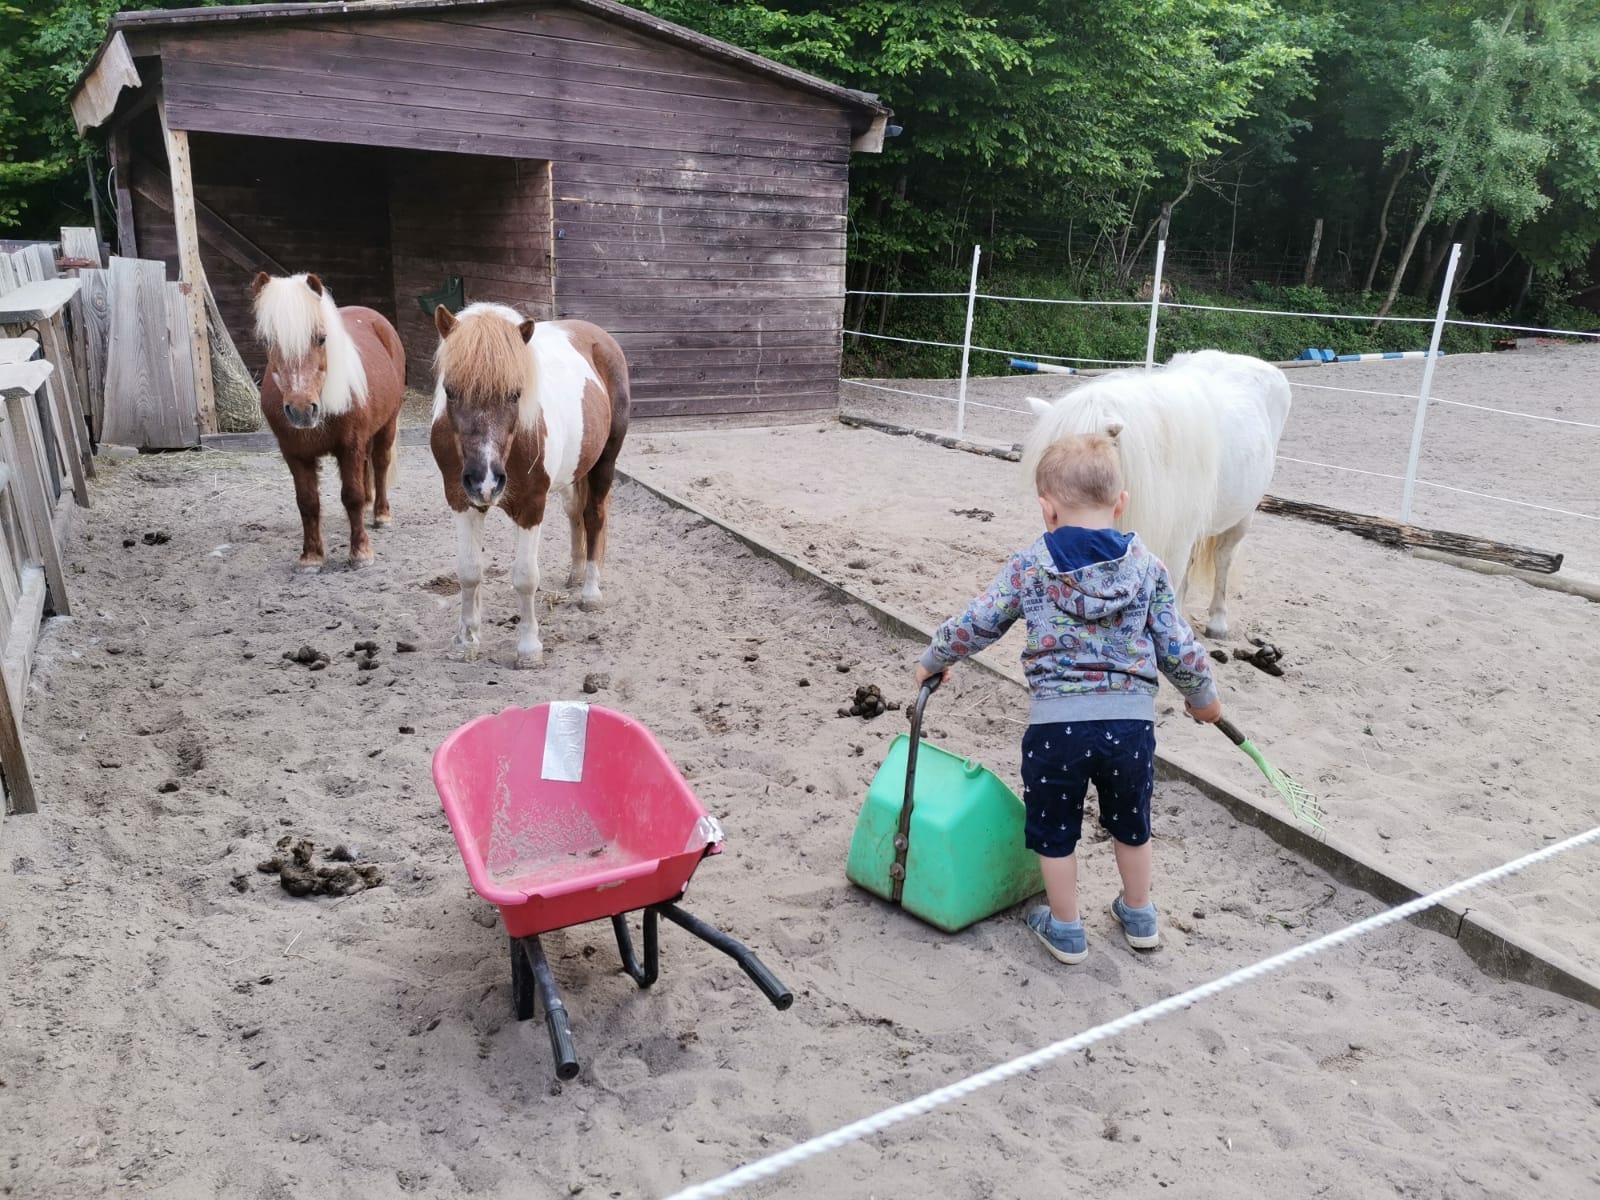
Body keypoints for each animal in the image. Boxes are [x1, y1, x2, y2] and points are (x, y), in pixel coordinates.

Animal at [249, 273, 403, 572]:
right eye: (267, 341)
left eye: (321, 339)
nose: (301, 411)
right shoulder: (295, 454)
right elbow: (308, 502)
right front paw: (311, 557)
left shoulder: (350, 445)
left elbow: (352, 496)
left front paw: (361, 553)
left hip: (387, 424)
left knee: (379, 464)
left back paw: (381, 514)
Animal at [432, 302, 630, 668]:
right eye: (450, 391)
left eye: (515, 394)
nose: (485, 480)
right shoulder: (461, 500)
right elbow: (468, 571)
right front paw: (466, 641)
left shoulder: (531, 506)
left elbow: (525, 577)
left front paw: (528, 648)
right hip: (572, 475)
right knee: (575, 514)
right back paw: (575, 574)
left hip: (604, 463)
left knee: (594, 517)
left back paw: (590, 592)